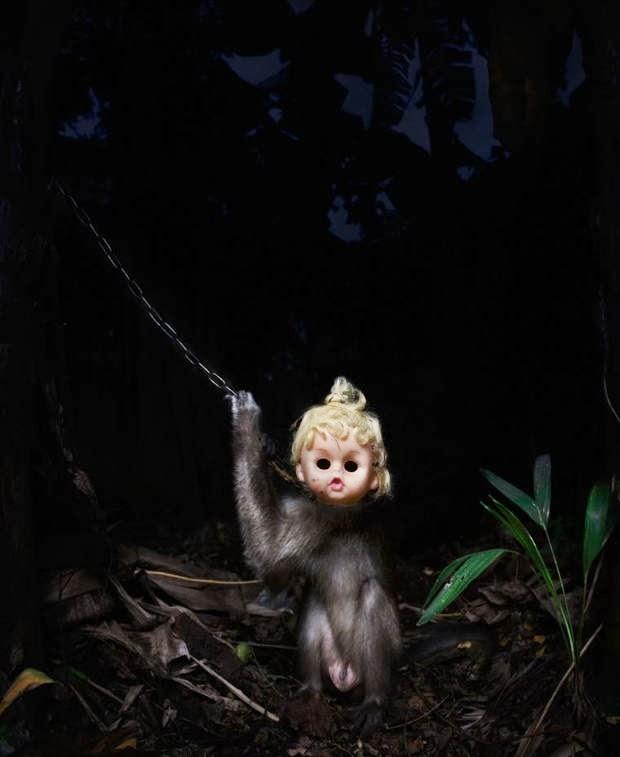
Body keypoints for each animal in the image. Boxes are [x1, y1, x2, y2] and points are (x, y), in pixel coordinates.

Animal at [230, 377, 401, 736]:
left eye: (351, 465)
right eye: (322, 462)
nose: (335, 479)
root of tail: (345, 675)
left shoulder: (328, 515)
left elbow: (270, 555)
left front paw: (247, 426)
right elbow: (277, 575)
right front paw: (263, 445)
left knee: (371, 594)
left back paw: (376, 700)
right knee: (316, 597)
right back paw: (310, 692)